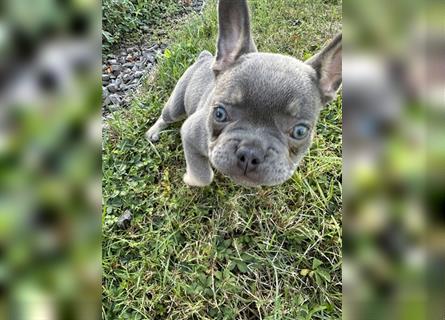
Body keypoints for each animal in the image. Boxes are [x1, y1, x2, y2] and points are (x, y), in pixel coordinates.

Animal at [146, 0, 340, 188]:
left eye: (300, 132)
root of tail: (204, 58)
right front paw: (190, 179)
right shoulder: (190, 133)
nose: (250, 153)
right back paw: (153, 131)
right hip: (176, 106)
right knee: (166, 116)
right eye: (219, 114)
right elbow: (204, 177)